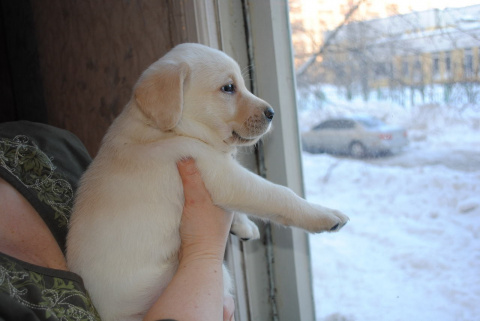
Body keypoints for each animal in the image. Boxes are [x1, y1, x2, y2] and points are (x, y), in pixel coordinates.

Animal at [65, 43, 346, 320]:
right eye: (229, 87)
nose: (272, 113)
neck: (170, 129)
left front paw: (243, 226)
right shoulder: (221, 174)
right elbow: (280, 194)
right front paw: (325, 215)